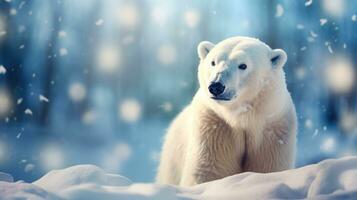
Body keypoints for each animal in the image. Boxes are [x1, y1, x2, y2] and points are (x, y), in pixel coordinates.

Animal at [155, 36, 294, 187]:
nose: (216, 86)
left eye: (243, 65)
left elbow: (268, 168)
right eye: (213, 62)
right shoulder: (214, 127)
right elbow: (208, 171)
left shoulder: (273, 130)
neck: (240, 118)